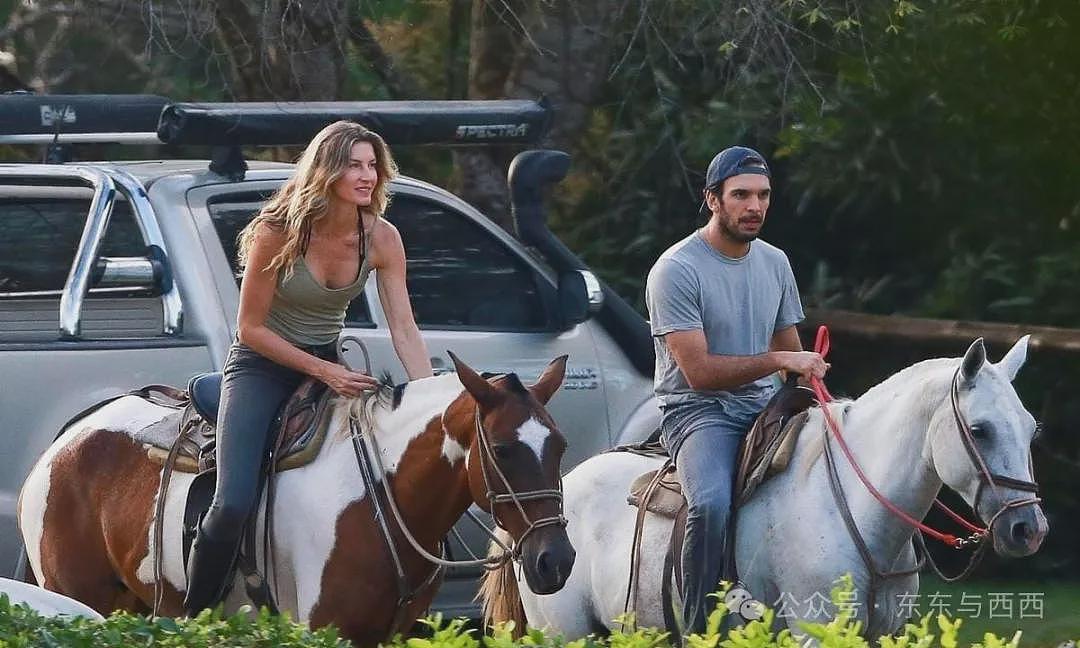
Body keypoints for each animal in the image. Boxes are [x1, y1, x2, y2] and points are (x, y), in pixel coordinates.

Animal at [16, 352, 574, 643]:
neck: (380, 497)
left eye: (560, 446)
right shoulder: (325, 629)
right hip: (79, 599)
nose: (556, 561)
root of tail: (65, 442)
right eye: (502, 449)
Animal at [481, 336, 1045, 639]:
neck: (852, 507)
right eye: (980, 430)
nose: (1028, 528)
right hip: (563, 632)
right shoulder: (813, 630)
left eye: (1031, 427)